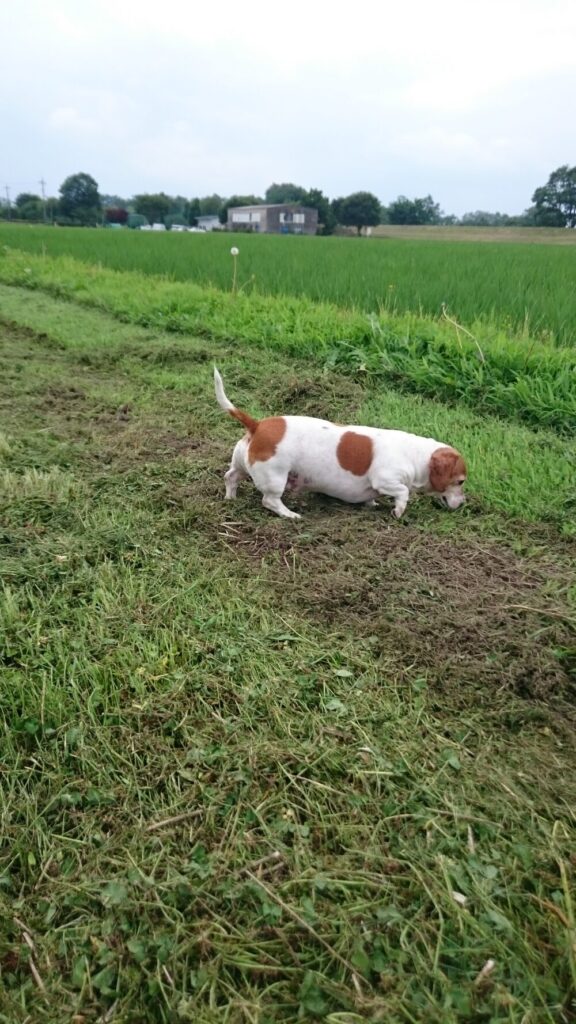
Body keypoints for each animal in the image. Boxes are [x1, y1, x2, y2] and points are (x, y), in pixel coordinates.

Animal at [213, 368, 463, 520]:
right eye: (460, 481)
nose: (462, 504)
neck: (417, 455)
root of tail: (257, 425)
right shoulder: (385, 479)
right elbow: (403, 492)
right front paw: (398, 511)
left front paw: (372, 504)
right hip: (275, 477)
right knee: (269, 500)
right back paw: (289, 514)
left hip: (242, 464)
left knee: (230, 477)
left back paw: (230, 498)